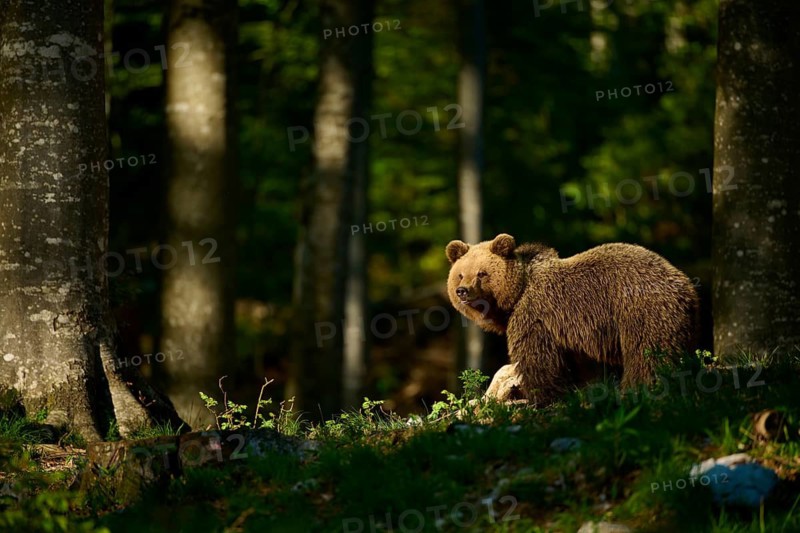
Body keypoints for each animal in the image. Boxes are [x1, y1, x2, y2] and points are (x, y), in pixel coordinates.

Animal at [446, 233, 699, 405]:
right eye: (460, 274)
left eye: (482, 273)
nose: (463, 290)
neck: (516, 295)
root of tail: (686, 284)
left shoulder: (535, 317)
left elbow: (537, 360)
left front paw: (534, 395)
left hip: (640, 311)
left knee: (647, 352)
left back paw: (640, 385)